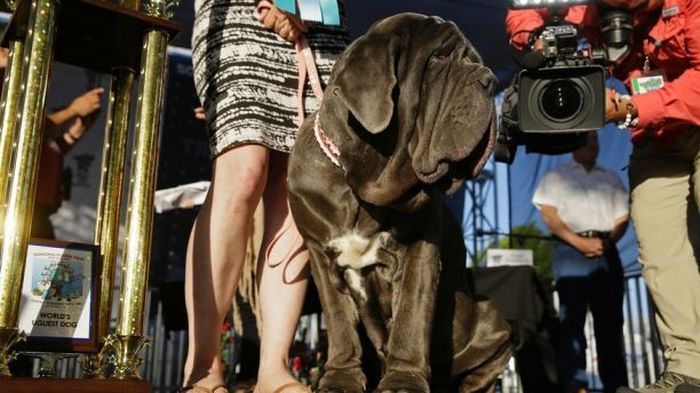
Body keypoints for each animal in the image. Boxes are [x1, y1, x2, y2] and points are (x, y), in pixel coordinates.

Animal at [288, 13, 512, 392]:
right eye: (438, 59)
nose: (490, 80)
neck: (362, 186)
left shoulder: (418, 254)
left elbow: (410, 319)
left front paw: (403, 381)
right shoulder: (320, 256)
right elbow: (340, 324)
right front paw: (340, 378)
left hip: (495, 319)